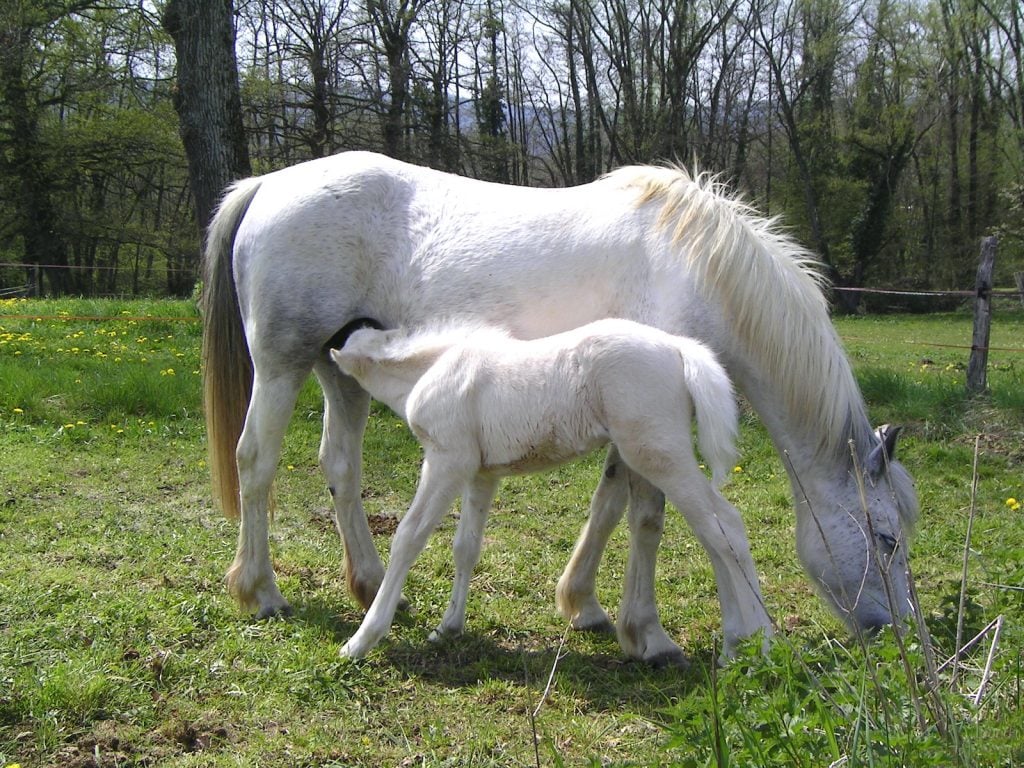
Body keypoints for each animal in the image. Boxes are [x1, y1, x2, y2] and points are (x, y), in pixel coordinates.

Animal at [327, 319, 770, 663]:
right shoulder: (481, 474)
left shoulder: (446, 461)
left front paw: (361, 640)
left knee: (725, 526)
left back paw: (762, 644)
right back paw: (734, 644)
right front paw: (448, 627)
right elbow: (466, 546)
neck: (432, 369)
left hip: (658, 454)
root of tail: (679, 348)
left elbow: (408, 537)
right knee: (713, 532)